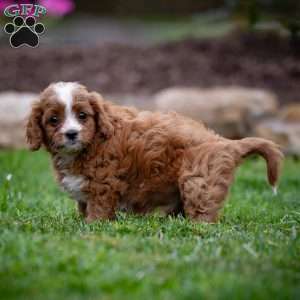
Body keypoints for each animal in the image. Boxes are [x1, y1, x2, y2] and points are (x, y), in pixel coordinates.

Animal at [25, 82, 284, 223]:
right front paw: (82, 220)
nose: (71, 134)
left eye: (82, 116)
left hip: (199, 180)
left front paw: (92, 225)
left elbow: (98, 208)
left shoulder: (104, 182)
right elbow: (83, 205)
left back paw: (195, 226)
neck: (92, 142)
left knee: (204, 210)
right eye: (53, 120)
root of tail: (224, 142)